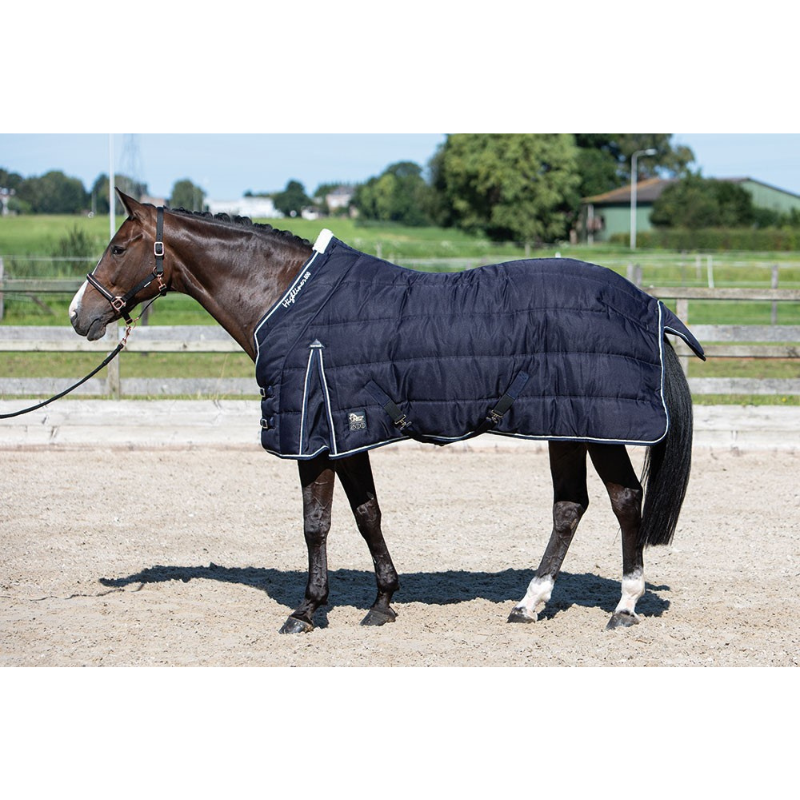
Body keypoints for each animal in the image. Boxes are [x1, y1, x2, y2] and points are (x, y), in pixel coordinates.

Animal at [70, 191, 702, 633]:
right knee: (570, 508)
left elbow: (317, 523)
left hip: (598, 428)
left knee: (624, 502)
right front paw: (382, 602)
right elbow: (366, 513)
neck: (288, 300)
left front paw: (307, 610)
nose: (80, 314)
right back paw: (530, 603)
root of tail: (648, 304)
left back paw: (623, 606)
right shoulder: (346, 433)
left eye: (119, 247)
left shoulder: (313, 435)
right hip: (565, 426)